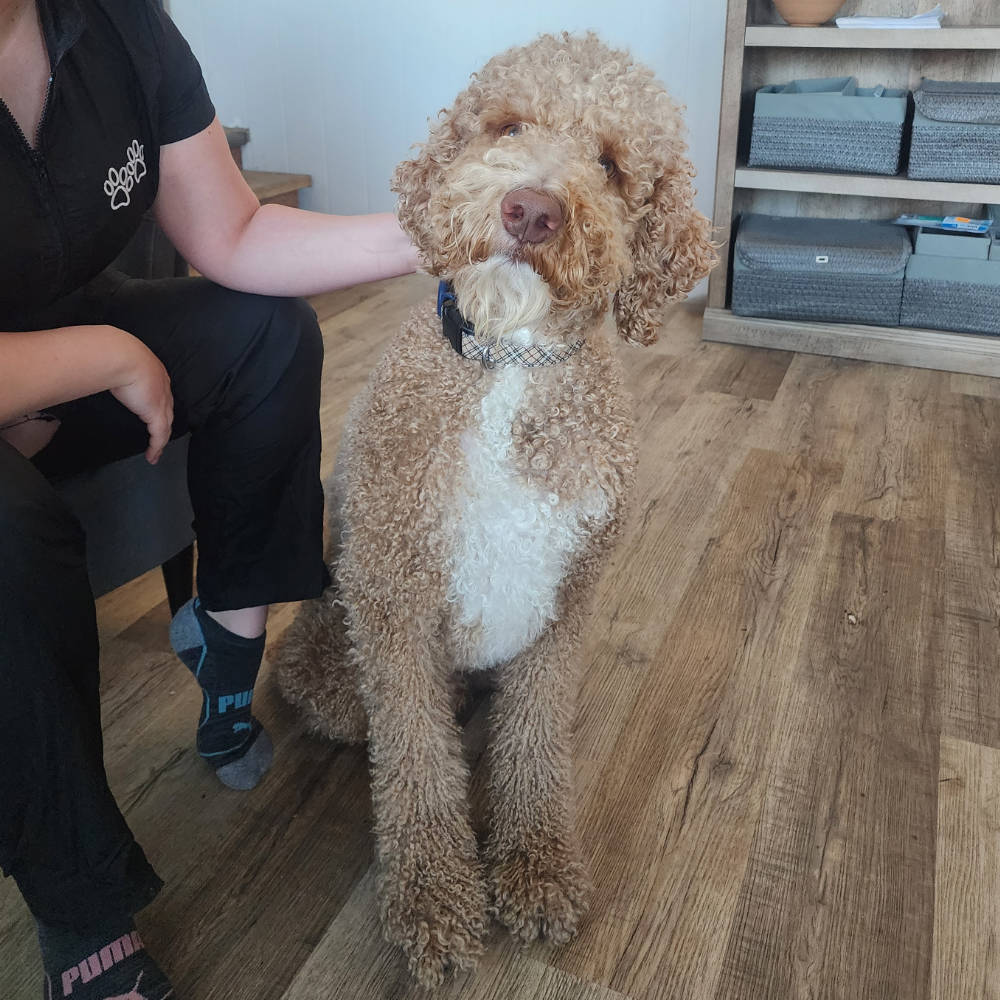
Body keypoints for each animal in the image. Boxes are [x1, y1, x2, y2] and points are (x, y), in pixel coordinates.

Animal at [270, 31, 716, 984]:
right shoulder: (394, 603)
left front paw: (537, 867)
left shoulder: (563, 601)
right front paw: (434, 902)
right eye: (508, 125)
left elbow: (534, 743)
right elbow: (417, 762)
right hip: (332, 661)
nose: (532, 211)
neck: (511, 362)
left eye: (612, 165)